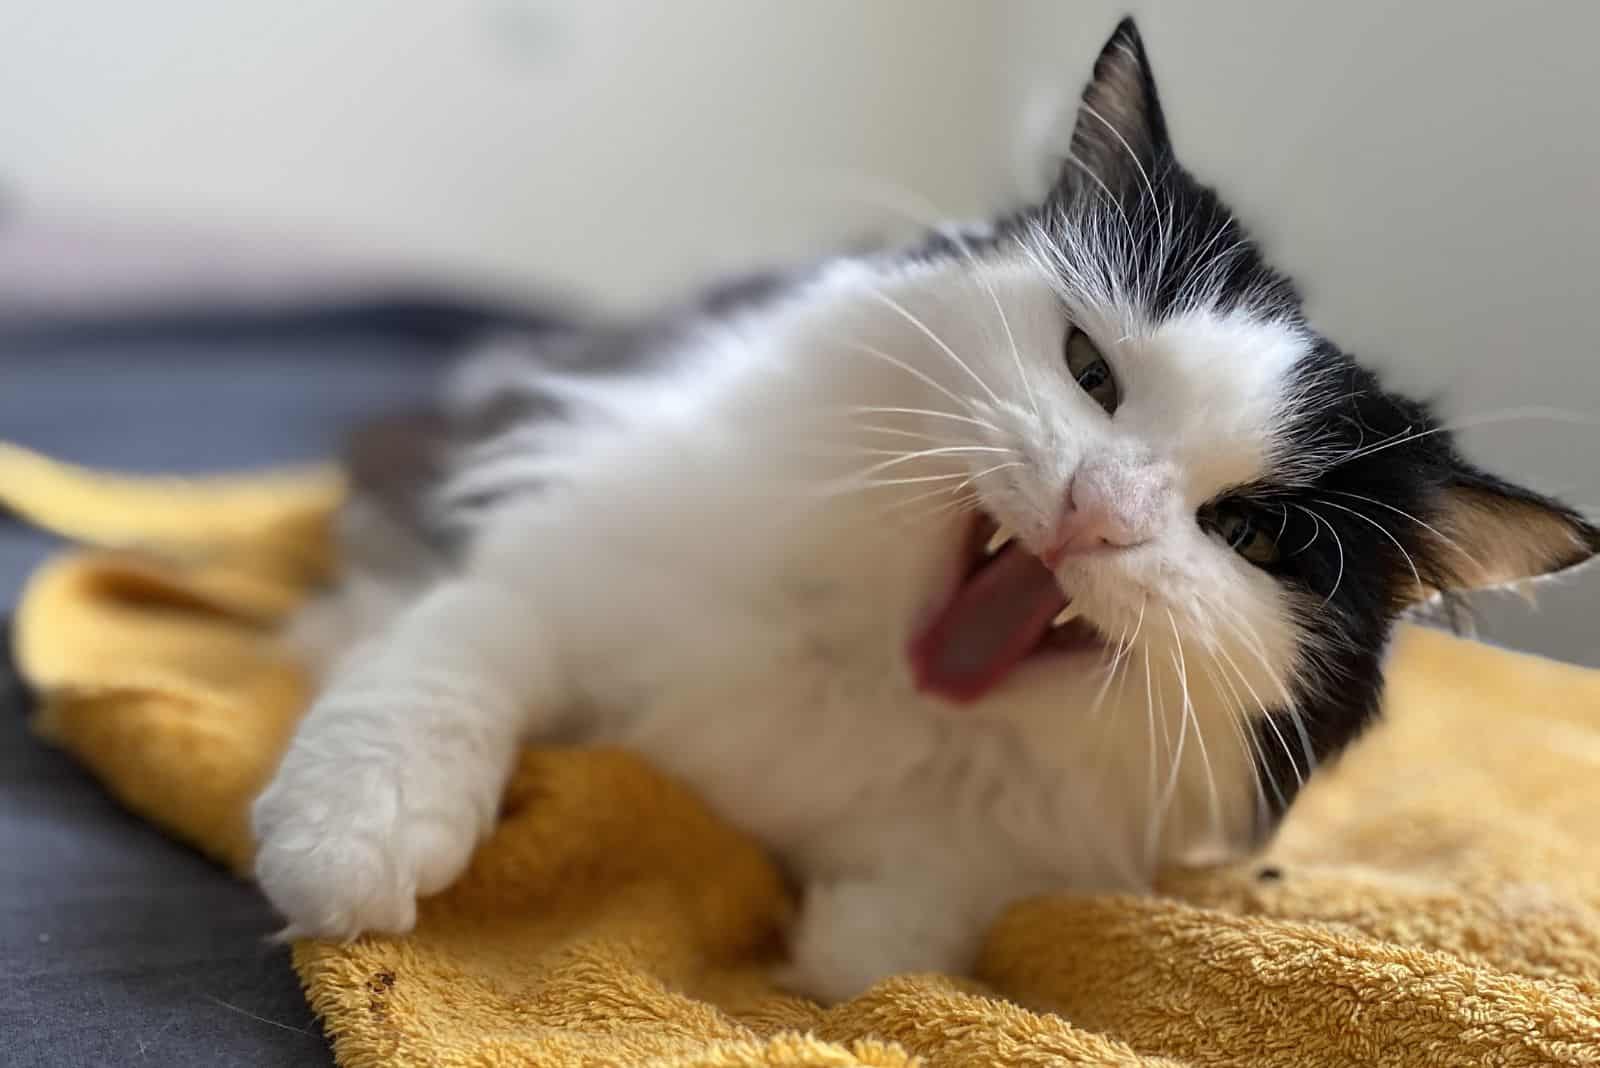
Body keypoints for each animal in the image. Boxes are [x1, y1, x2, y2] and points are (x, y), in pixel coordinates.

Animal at [249, 16, 1600, 1004]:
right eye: (1090, 373)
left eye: (1250, 535)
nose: (1094, 509)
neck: (875, 684)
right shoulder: (545, 554)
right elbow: (438, 675)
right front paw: (345, 856)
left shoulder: (991, 866)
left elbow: (878, 961)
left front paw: (817, 959)